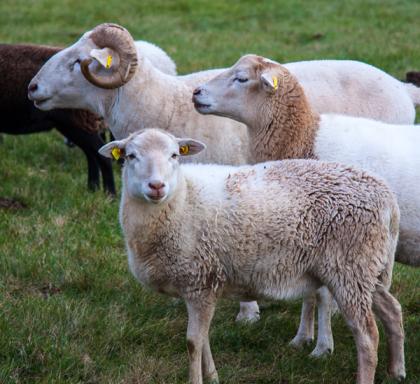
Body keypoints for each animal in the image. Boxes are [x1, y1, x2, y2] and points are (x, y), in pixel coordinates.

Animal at [98, 128, 404, 384]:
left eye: (175, 155)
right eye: (131, 156)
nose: (156, 186)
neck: (182, 199)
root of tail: (387, 197)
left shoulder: (200, 279)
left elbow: (193, 342)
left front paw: (197, 379)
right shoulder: (199, 284)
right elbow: (203, 338)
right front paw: (213, 376)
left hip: (349, 268)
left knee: (367, 335)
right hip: (367, 268)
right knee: (392, 310)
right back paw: (397, 370)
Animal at [193, 53, 420, 356]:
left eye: (241, 78)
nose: (196, 93)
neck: (303, 138)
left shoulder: (330, 237)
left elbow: (322, 295)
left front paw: (322, 346)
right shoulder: (306, 234)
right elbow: (309, 294)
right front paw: (302, 337)